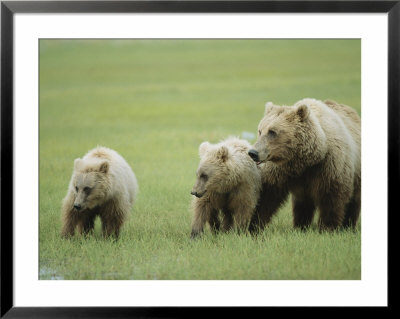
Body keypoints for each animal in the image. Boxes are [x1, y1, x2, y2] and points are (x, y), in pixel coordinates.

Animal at [248, 97, 360, 232]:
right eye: (260, 131)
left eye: (272, 132)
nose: (253, 153)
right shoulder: (279, 170)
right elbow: (267, 195)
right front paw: (253, 226)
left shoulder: (329, 166)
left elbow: (331, 198)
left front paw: (327, 228)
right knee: (302, 204)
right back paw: (300, 226)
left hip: (357, 173)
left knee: (354, 200)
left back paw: (348, 225)